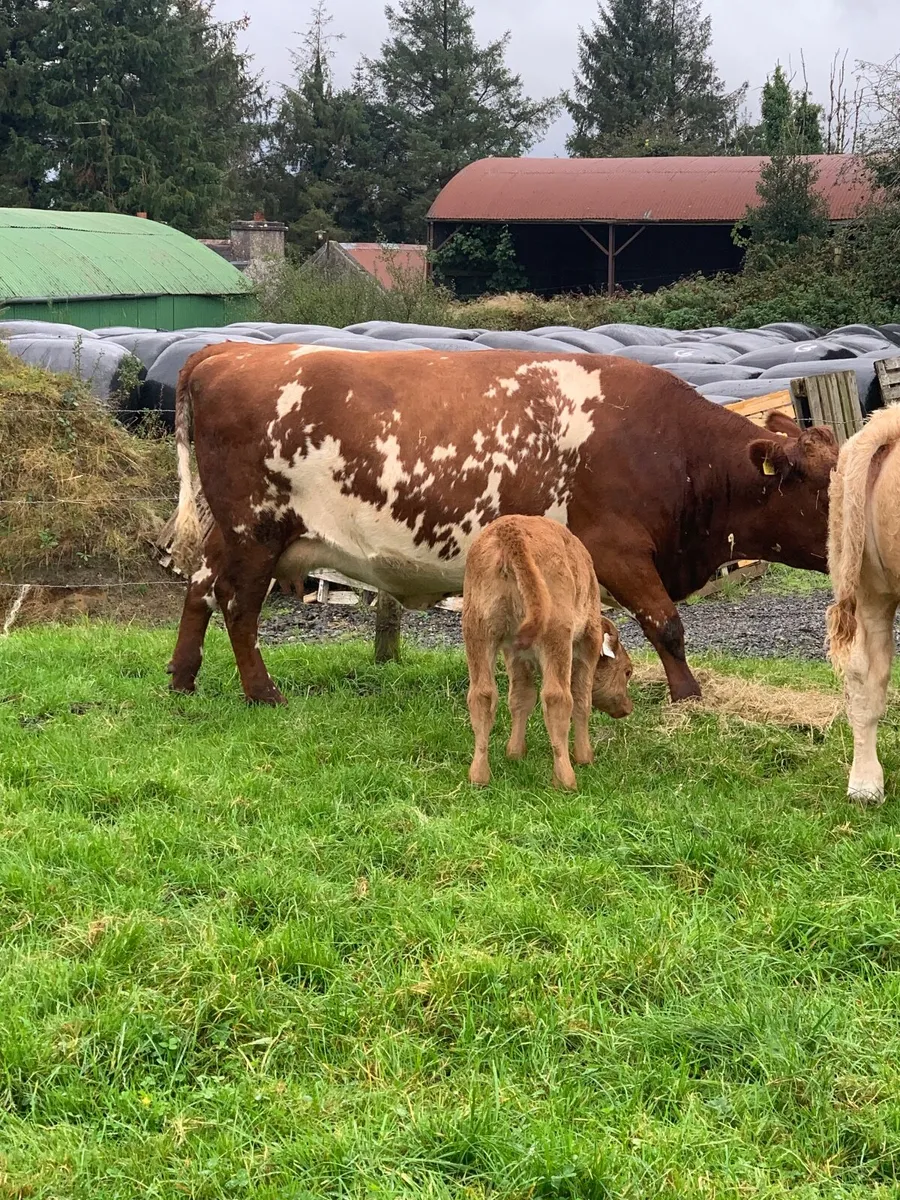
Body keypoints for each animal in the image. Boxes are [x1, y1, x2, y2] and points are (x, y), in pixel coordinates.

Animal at [166, 343, 838, 705]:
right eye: (828, 487)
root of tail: (229, 350)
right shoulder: (617, 550)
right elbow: (666, 625)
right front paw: (690, 701)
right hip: (255, 528)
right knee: (237, 605)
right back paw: (262, 693)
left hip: (233, 532)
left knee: (199, 586)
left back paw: (183, 678)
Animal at [462, 514, 633, 790]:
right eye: (627, 671)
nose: (628, 707)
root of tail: (509, 532)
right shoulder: (587, 643)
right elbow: (581, 698)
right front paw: (585, 756)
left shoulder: (514, 653)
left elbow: (521, 697)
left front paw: (515, 752)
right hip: (556, 635)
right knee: (557, 697)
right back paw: (565, 779)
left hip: (478, 632)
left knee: (481, 694)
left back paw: (479, 776)